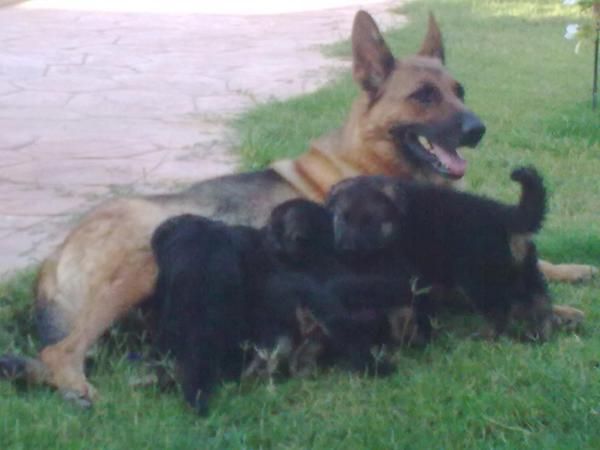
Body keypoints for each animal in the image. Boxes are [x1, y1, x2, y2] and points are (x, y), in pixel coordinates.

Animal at [328, 167, 552, 340]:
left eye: (369, 221)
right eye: (342, 219)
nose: (346, 249)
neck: (399, 222)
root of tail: (507, 216)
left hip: (478, 280)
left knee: (499, 311)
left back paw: (484, 337)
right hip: (525, 272)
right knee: (540, 302)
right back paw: (540, 334)